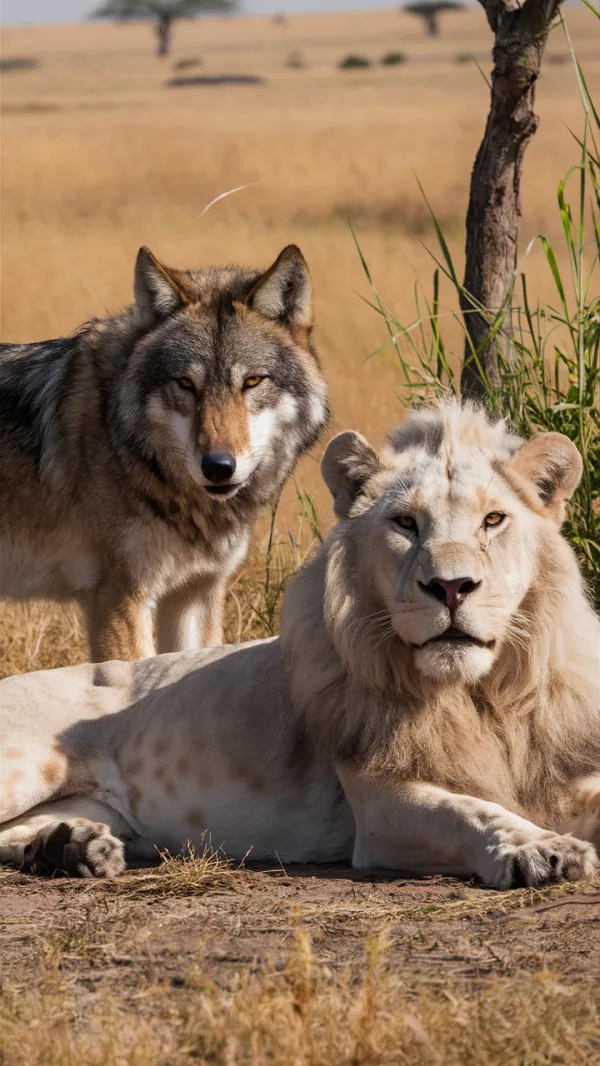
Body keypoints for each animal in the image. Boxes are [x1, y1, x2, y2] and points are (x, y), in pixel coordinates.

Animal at [1, 401, 599, 889]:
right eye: (406, 523)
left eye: (493, 520)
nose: (451, 587)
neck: (480, 696)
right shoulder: (381, 803)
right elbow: (474, 811)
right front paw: (542, 850)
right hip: (31, 765)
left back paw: (68, 847)